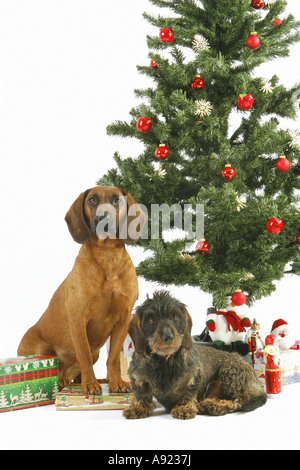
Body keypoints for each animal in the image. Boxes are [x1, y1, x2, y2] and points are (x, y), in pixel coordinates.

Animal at [17, 185, 145, 394]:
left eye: (117, 200)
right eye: (92, 199)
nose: (103, 217)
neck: (108, 256)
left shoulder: (123, 320)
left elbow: (112, 358)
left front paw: (116, 382)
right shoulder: (78, 320)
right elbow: (83, 355)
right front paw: (90, 384)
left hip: (96, 353)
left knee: (76, 375)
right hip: (42, 351)